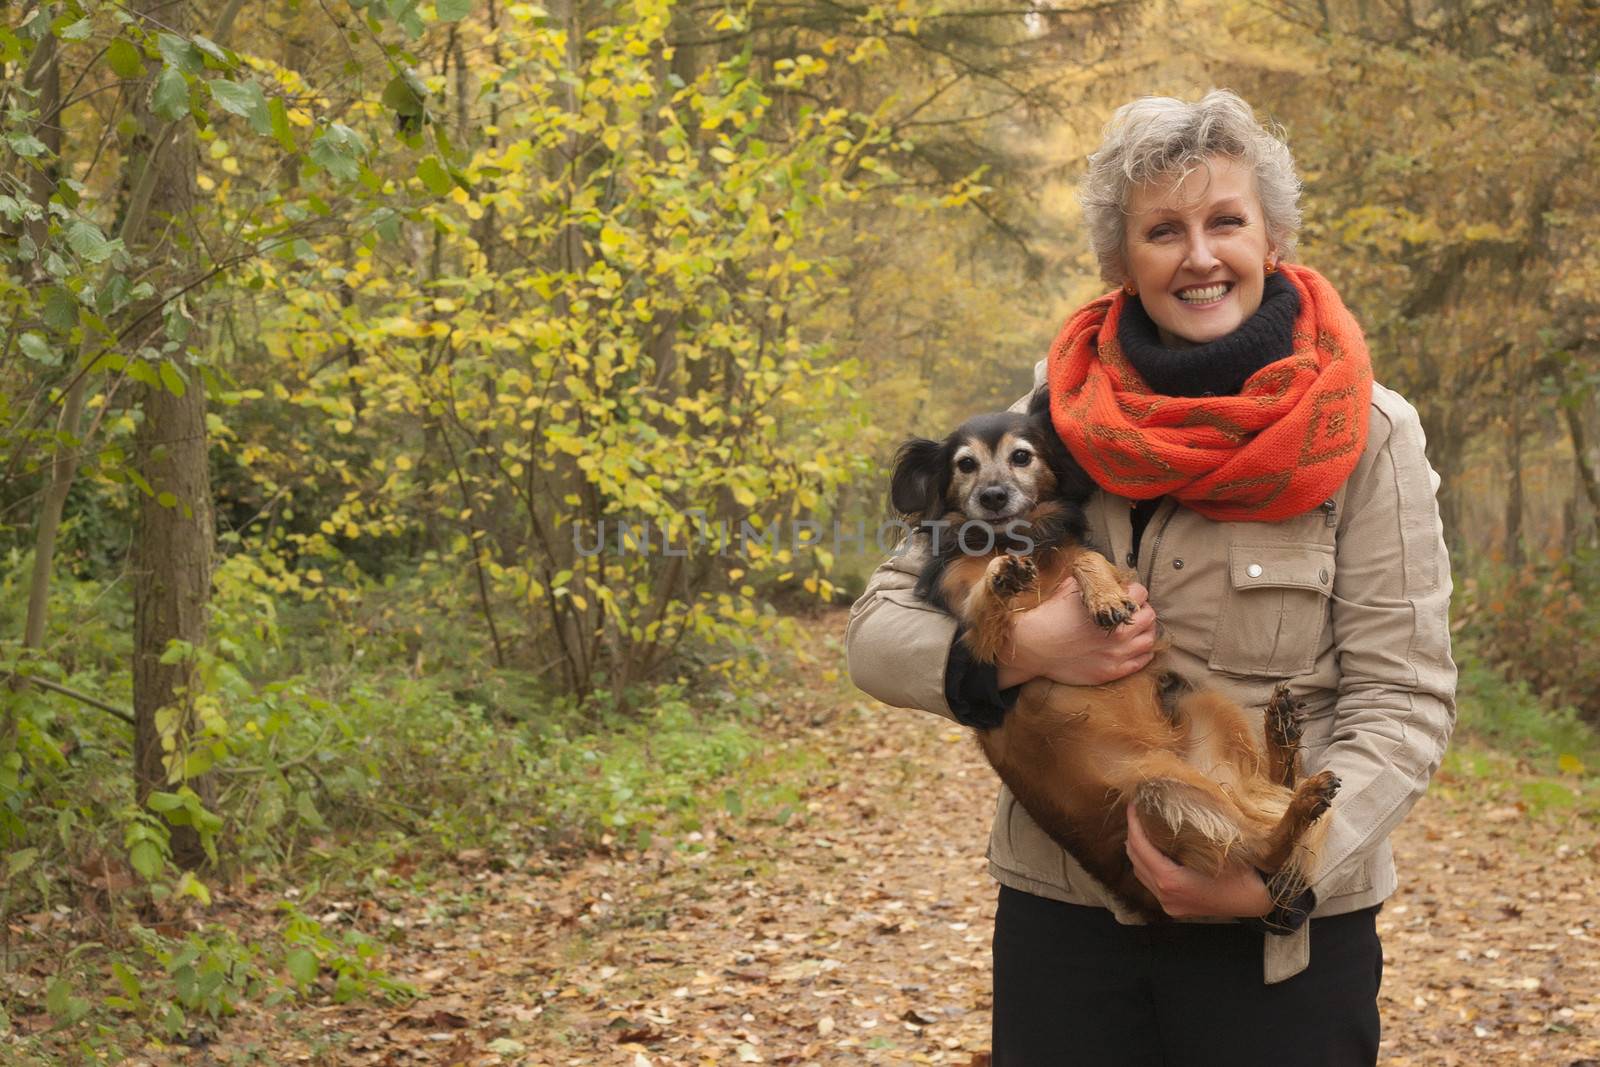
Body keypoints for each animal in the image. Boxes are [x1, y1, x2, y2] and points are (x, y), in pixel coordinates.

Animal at [896, 390, 1344, 921]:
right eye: (965, 465)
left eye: (1021, 456)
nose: (993, 496)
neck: (1017, 542)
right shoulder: (976, 633)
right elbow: (986, 601)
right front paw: (1003, 575)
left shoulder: (1083, 561)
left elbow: (1088, 560)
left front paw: (1104, 597)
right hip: (1160, 791)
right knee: (1263, 850)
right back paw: (1296, 783)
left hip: (1197, 720)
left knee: (1268, 827)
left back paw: (1285, 743)